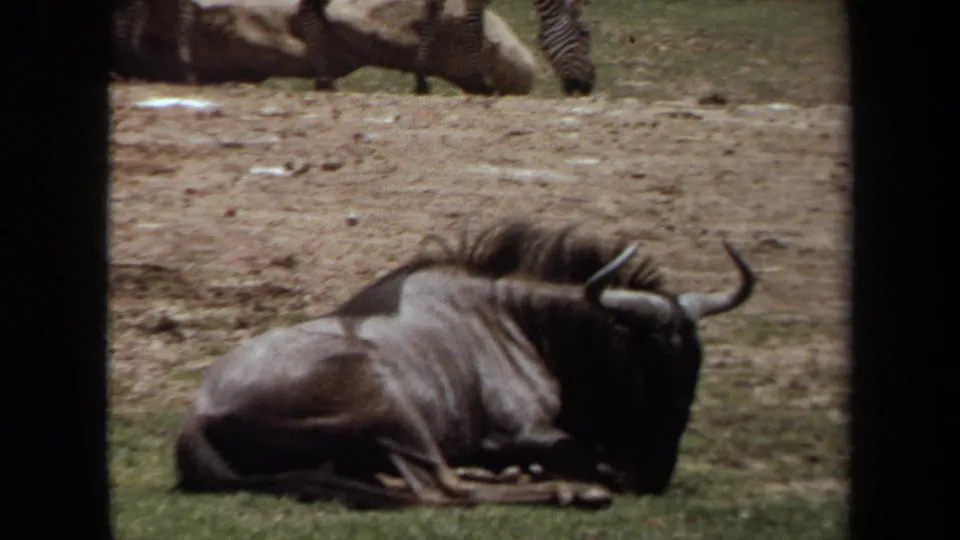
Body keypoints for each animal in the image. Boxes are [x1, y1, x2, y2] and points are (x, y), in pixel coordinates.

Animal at [296, 0, 596, 96]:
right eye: (585, 34)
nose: (587, 88)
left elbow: (433, 12)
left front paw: (421, 78)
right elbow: (473, 20)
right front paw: (479, 80)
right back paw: (324, 77)